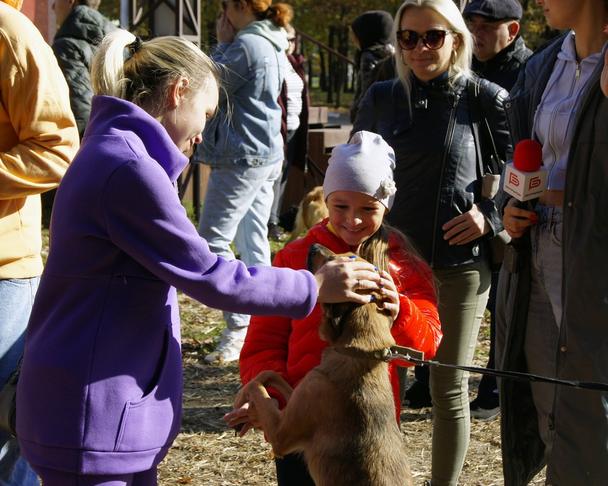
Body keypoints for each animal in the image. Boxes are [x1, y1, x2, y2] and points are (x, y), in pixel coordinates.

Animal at [235, 245, 410, 486]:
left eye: (335, 262)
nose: (313, 245)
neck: (357, 352)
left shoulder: (280, 434)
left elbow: (257, 388)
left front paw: (244, 399)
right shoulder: (299, 393)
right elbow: (271, 375)